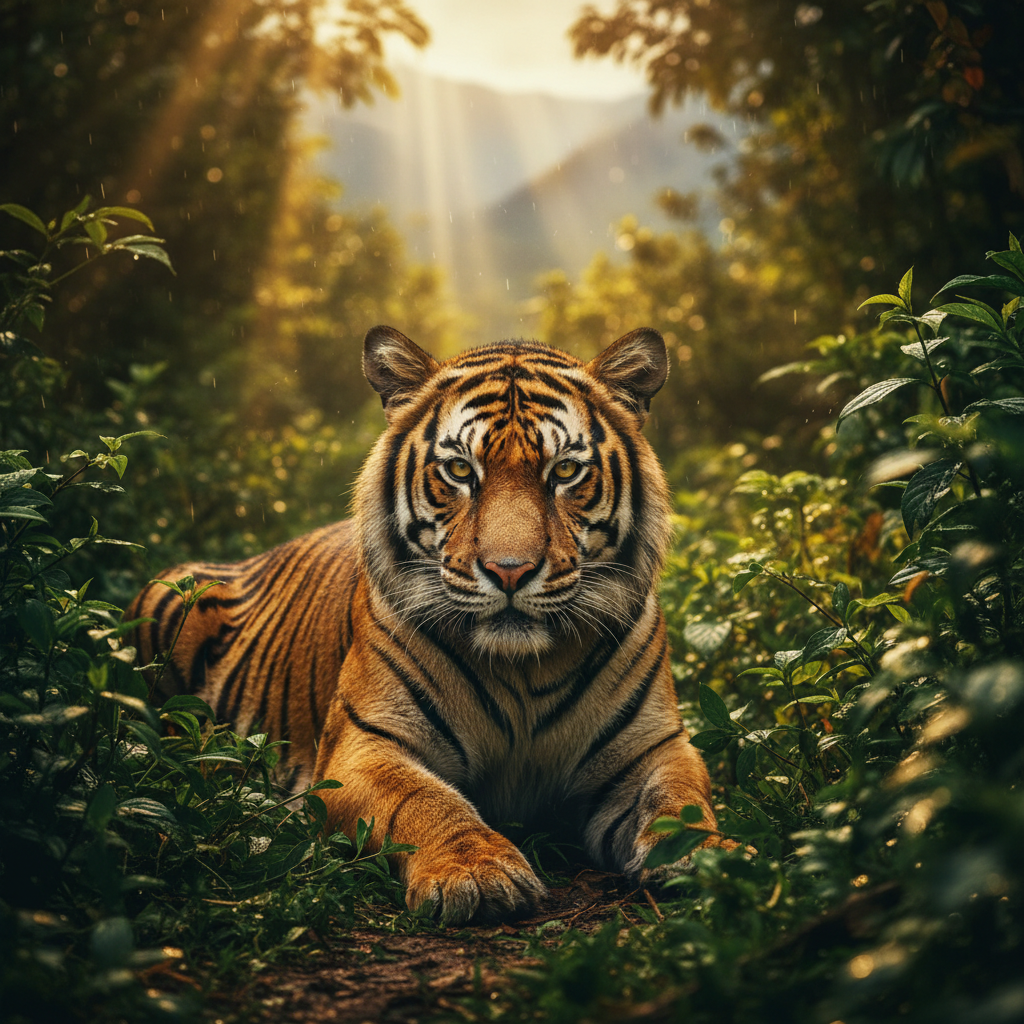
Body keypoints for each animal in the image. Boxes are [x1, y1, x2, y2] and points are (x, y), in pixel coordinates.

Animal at [128, 325, 727, 924]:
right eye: (460, 470)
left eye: (564, 471)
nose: (510, 571)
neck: (523, 673)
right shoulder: (365, 745)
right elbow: (422, 800)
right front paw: (477, 873)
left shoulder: (654, 746)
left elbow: (679, 799)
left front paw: (712, 858)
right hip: (169, 594)